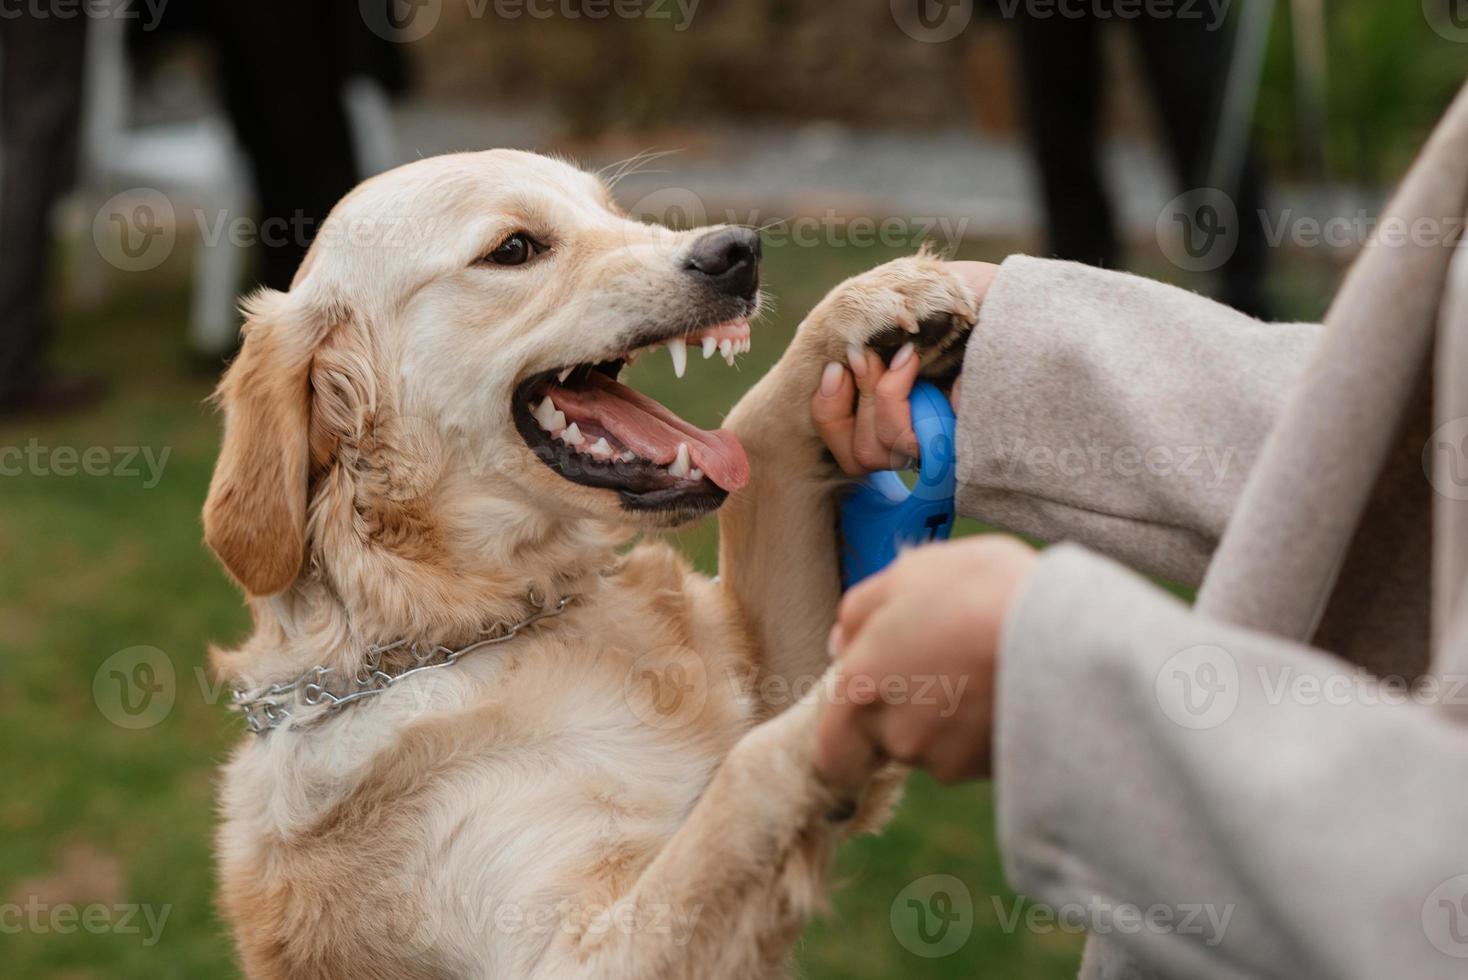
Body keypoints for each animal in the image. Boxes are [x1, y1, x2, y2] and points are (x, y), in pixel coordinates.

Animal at [204, 151, 974, 979]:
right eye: (513, 249)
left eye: (614, 212)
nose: (738, 251)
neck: (477, 626)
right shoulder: (571, 954)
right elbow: (752, 767)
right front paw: (900, 662)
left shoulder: (771, 665)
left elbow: (758, 434)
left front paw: (871, 305)